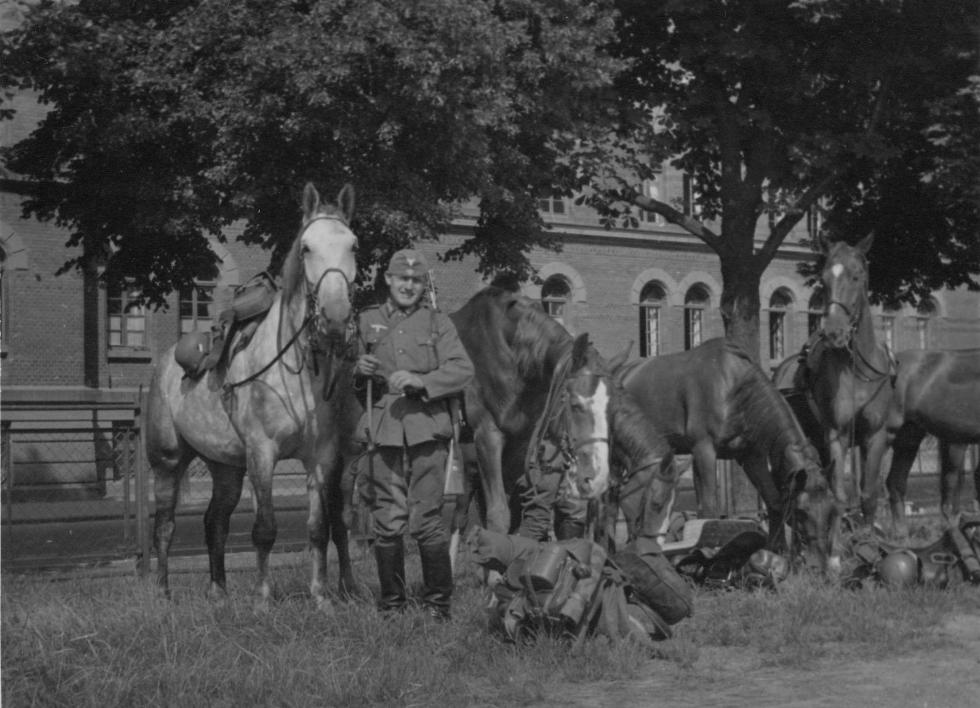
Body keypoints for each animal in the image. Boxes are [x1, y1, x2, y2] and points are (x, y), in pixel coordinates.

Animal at [146, 183, 359, 607]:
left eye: (354, 245)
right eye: (306, 247)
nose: (335, 317)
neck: (294, 371)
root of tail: (164, 364)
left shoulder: (321, 458)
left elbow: (318, 529)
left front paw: (321, 597)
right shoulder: (262, 453)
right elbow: (265, 529)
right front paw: (263, 598)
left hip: (225, 467)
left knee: (215, 520)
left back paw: (218, 591)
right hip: (169, 461)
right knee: (165, 525)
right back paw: (161, 592)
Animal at [449, 286, 629, 537]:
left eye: (612, 408)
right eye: (575, 404)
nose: (599, 477)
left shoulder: (518, 448)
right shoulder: (487, 437)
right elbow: (499, 516)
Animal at [616, 337, 837, 568]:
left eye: (832, 510)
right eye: (801, 511)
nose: (818, 564)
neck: (734, 387)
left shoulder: (752, 458)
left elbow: (774, 501)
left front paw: (778, 551)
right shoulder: (704, 451)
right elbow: (709, 507)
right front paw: (706, 551)